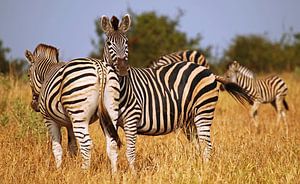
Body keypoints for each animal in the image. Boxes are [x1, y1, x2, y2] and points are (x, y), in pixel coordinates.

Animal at [26, 14, 132, 171]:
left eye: (28, 75)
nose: (34, 105)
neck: (47, 73)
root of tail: (100, 67)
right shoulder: (69, 123)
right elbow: (72, 147)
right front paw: (70, 167)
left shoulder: (49, 119)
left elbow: (57, 147)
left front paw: (59, 170)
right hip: (111, 109)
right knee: (112, 142)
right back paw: (114, 173)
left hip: (78, 114)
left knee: (86, 144)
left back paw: (84, 172)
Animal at [101, 15, 253, 171]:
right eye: (108, 43)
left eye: (126, 42)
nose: (122, 69)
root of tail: (208, 71)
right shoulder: (107, 123)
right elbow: (111, 150)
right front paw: (115, 174)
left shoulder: (131, 118)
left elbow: (130, 152)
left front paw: (133, 174)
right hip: (190, 119)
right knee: (198, 144)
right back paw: (197, 167)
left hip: (204, 111)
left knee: (206, 145)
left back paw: (205, 170)